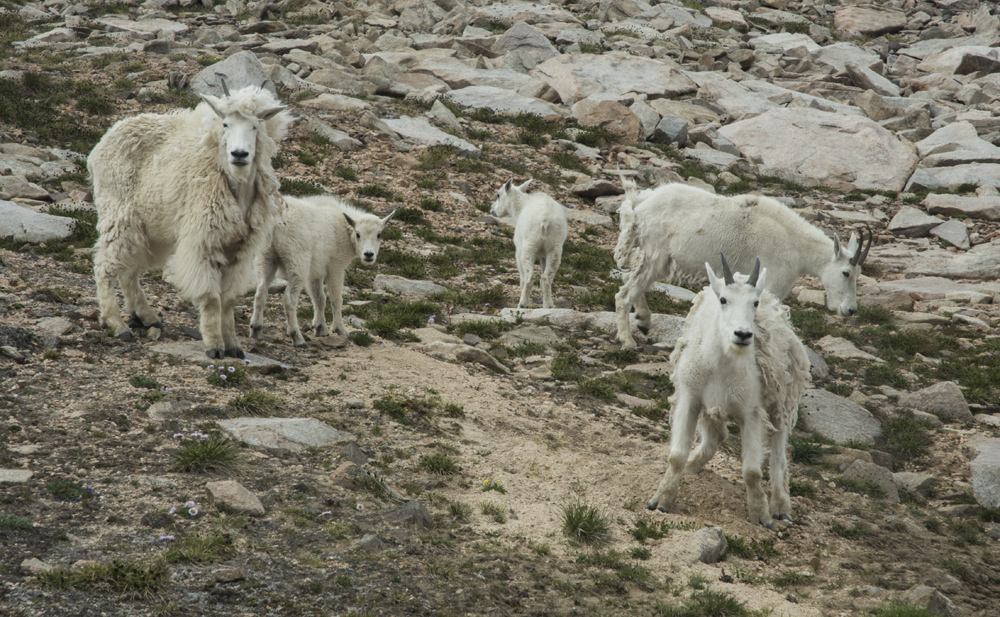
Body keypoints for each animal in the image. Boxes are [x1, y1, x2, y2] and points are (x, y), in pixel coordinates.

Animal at [88, 77, 292, 358]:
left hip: (150, 227)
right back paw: (116, 324)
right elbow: (211, 297)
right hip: (119, 214)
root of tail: (104, 140)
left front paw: (234, 346)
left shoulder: (241, 248)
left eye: (255, 126)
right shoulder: (203, 240)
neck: (234, 186)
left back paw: (147, 316)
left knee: (128, 270)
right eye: (226, 124)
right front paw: (214, 346)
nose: (239, 154)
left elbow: (229, 299)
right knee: (105, 265)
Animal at [248, 195, 392, 344]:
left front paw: (320, 328)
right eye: (358, 234)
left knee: (261, 292)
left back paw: (256, 329)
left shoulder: (316, 271)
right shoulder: (335, 267)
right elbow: (336, 299)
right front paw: (340, 329)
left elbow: (319, 298)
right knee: (289, 298)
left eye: (379, 234)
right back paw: (296, 336)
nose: (368, 254)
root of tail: (275, 225)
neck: (345, 228)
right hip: (297, 261)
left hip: (266, 256)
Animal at [488, 178, 568, 308]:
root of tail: (545, 220)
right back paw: (548, 306)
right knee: (546, 277)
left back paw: (523, 304)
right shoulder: (543, 255)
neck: (520, 207)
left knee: (529, 277)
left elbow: (522, 277)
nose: (492, 209)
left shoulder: (519, 249)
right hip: (554, 248)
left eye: (498, 195)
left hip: (529, 246)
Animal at [612, 180, 872, 348]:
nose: (850, 310)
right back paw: (628, 341)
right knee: (624, 294)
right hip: (654, 255)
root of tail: (640, 203)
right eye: (846, 273)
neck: (797, 246)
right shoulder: (772, 285)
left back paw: (643, 322)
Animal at [644, 253, 808, 528]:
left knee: (779, 450)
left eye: (754, 303)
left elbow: (752, 471)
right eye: (723, 300)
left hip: (781, 400)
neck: (721, 362)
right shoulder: (690, 398)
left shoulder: (752, 411)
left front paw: (760, 514)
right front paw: (661, 500)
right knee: (716, 437)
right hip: (712, 406)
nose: (742, 334)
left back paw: (780, 505)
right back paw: (692, 467)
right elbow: (676, 455)